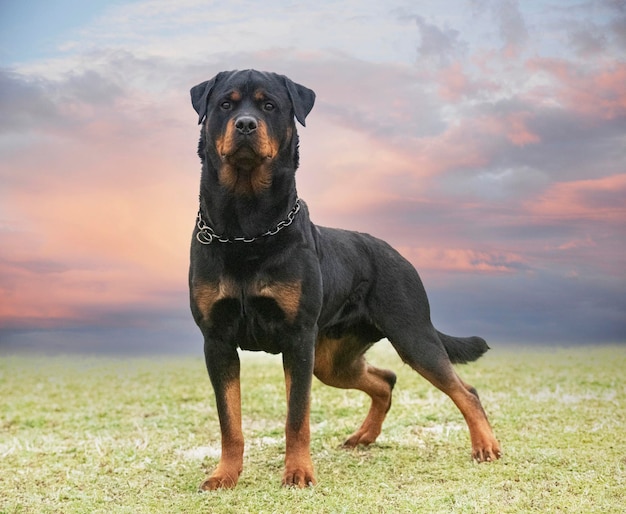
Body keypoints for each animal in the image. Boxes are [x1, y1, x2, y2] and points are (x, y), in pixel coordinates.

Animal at [188, 69, 500, 488]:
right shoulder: (217, 341)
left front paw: (298, 472)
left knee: (465, 390)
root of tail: (398, 255)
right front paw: (224, 475)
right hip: (333, 359)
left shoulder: (297, 338)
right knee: (385, 380)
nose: (246, 124)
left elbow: (296, 416)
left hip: (412, 336)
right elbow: (229, 421)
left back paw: (485, 445)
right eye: (226, 104)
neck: (246, 228)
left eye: (269, 105)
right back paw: (364, 436)